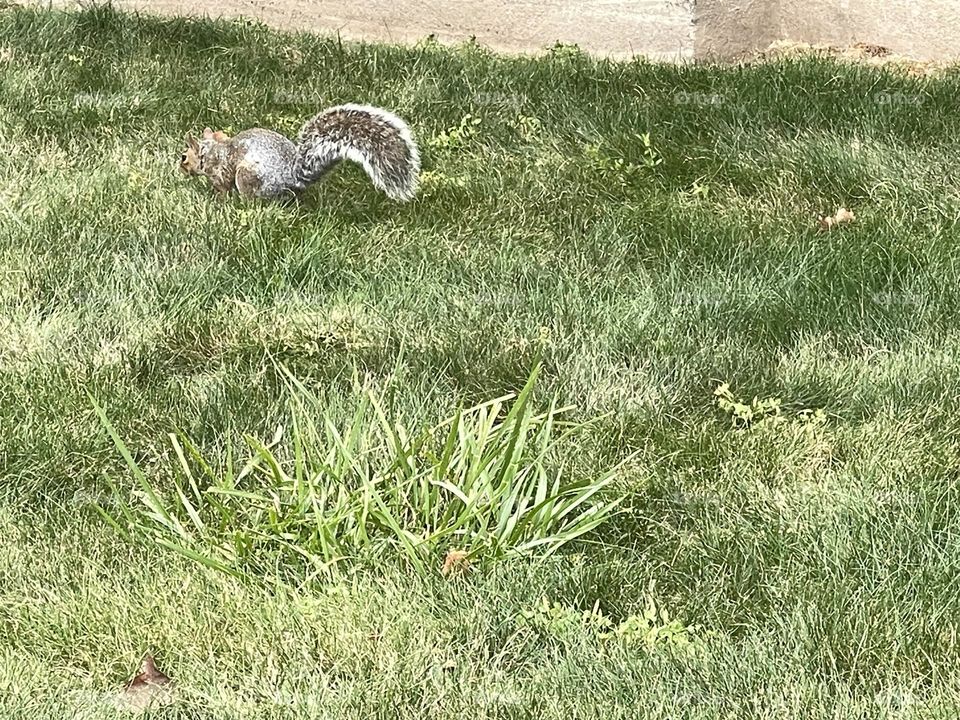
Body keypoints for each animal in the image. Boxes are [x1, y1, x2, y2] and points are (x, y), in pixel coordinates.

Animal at [180, 103, 420, 202]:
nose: (179, 169)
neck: (212, 149)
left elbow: (222, 187)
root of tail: (291, 176)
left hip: (247, 176)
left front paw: (217, 199)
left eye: (184, 158)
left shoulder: (221, 171)